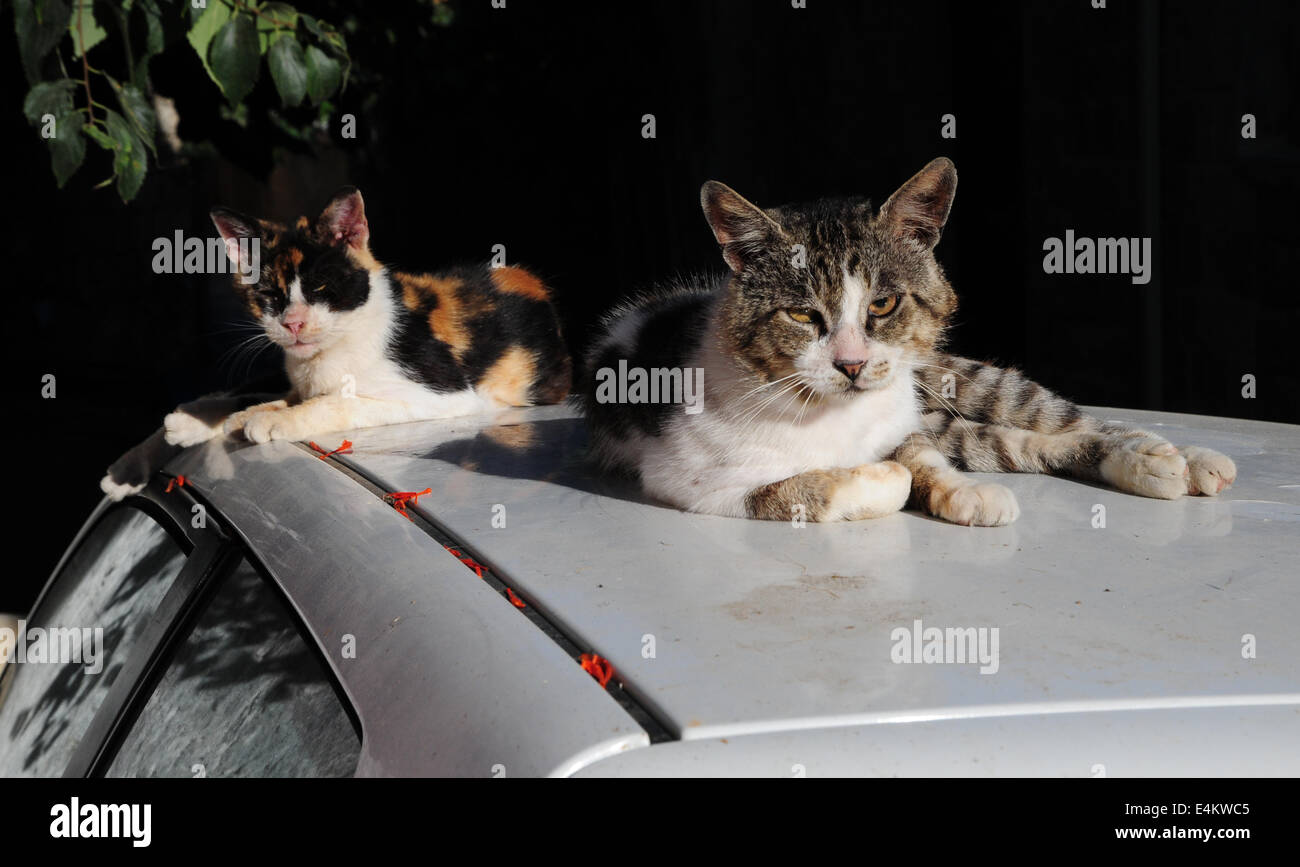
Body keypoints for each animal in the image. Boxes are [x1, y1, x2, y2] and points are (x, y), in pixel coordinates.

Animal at [101, 189, 569, 501]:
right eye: (268, 295)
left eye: (321, 287)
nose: (293, 323)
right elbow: (271, 397)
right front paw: (232, 418)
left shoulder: (449, 395)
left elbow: (341, 401)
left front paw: (272, 420)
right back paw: (141, 457)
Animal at [582, 158, 1237, 525]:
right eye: (801, 314)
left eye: (882, 304)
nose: (851, 364)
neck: (833, 417)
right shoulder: (691, 482)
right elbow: (801, 490)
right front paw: (878, 481)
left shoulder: (904, 424)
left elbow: (922, 460)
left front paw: (961, 492)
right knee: (1009, 443)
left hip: (958, 381)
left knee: (1055, 421)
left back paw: (1177, 456)